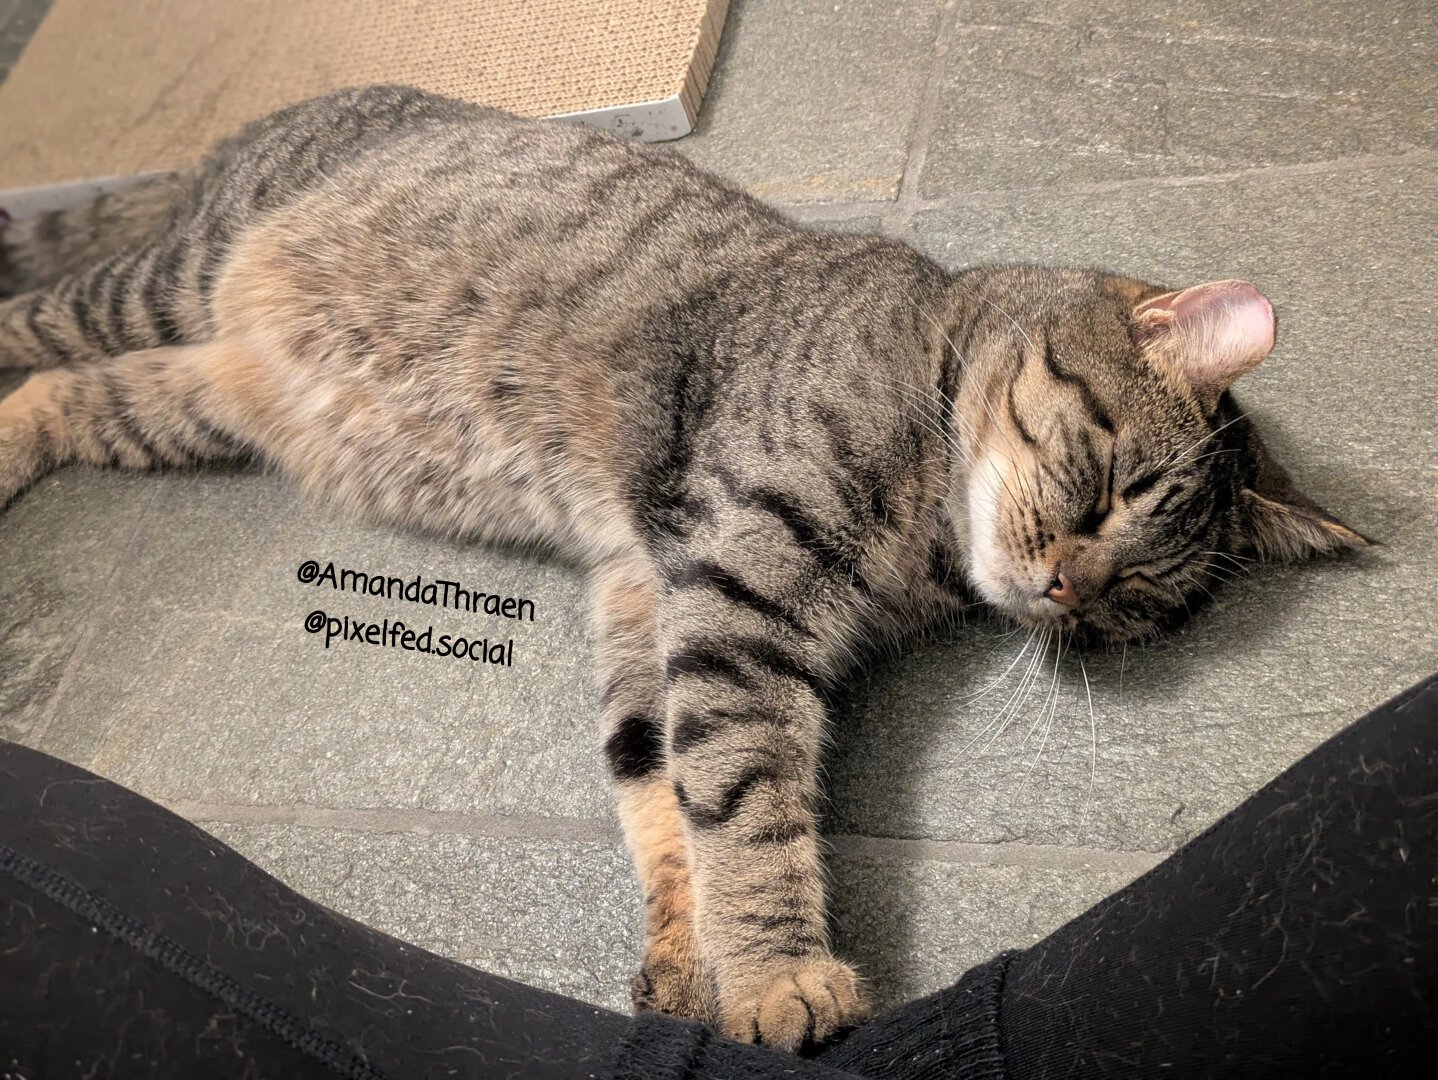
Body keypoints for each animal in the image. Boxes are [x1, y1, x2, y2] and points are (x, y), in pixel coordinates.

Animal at [2, 86, 1368, 1058]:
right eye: (1107, 490)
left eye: (1137, 605)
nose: (1065, 592)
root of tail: (262, 122)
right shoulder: (737, 592)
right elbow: (747, 795)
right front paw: (775, 975)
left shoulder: (645, 594)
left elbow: (660, 780)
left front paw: (690, 956)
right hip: (163, 289)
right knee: (31, 325)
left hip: (196, 399)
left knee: (65, 394)